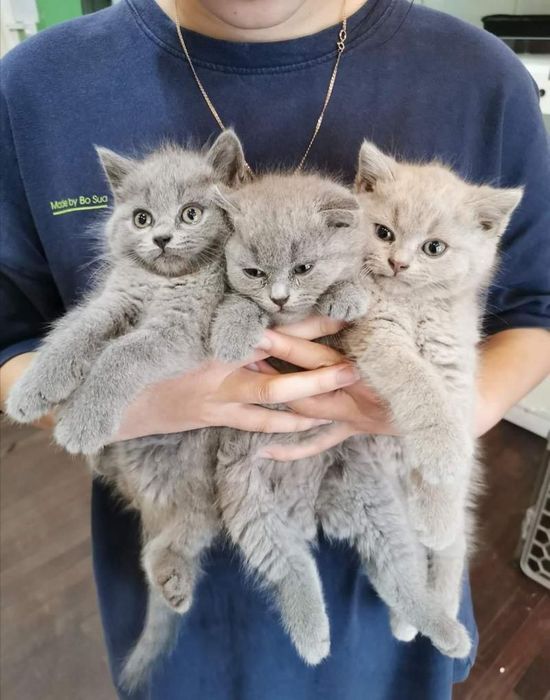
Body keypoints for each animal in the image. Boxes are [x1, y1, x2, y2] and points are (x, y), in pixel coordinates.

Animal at [6, 129, 248, 690]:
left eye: (189, 213)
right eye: (140, 218)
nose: (159, 238)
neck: (165, 282)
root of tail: (148, 495)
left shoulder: (181, 332)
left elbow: (121, 354)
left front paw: (81, 420)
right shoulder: (115, 298)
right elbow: (76, 330)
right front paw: (35, 388)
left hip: (206, 480)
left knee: (190, 530)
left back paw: (172, 579)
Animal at [317, 140, 523, 648]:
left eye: (434, 248)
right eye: (384, 232)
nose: (398, 262)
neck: (414, 308)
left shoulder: (456, 369)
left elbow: (448, 424)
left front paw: (441, 471)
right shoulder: (376, 336)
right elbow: (417, 383)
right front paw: (441, 446)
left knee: (451, 549)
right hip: (381, 507)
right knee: (401, 566)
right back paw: (412, 622)